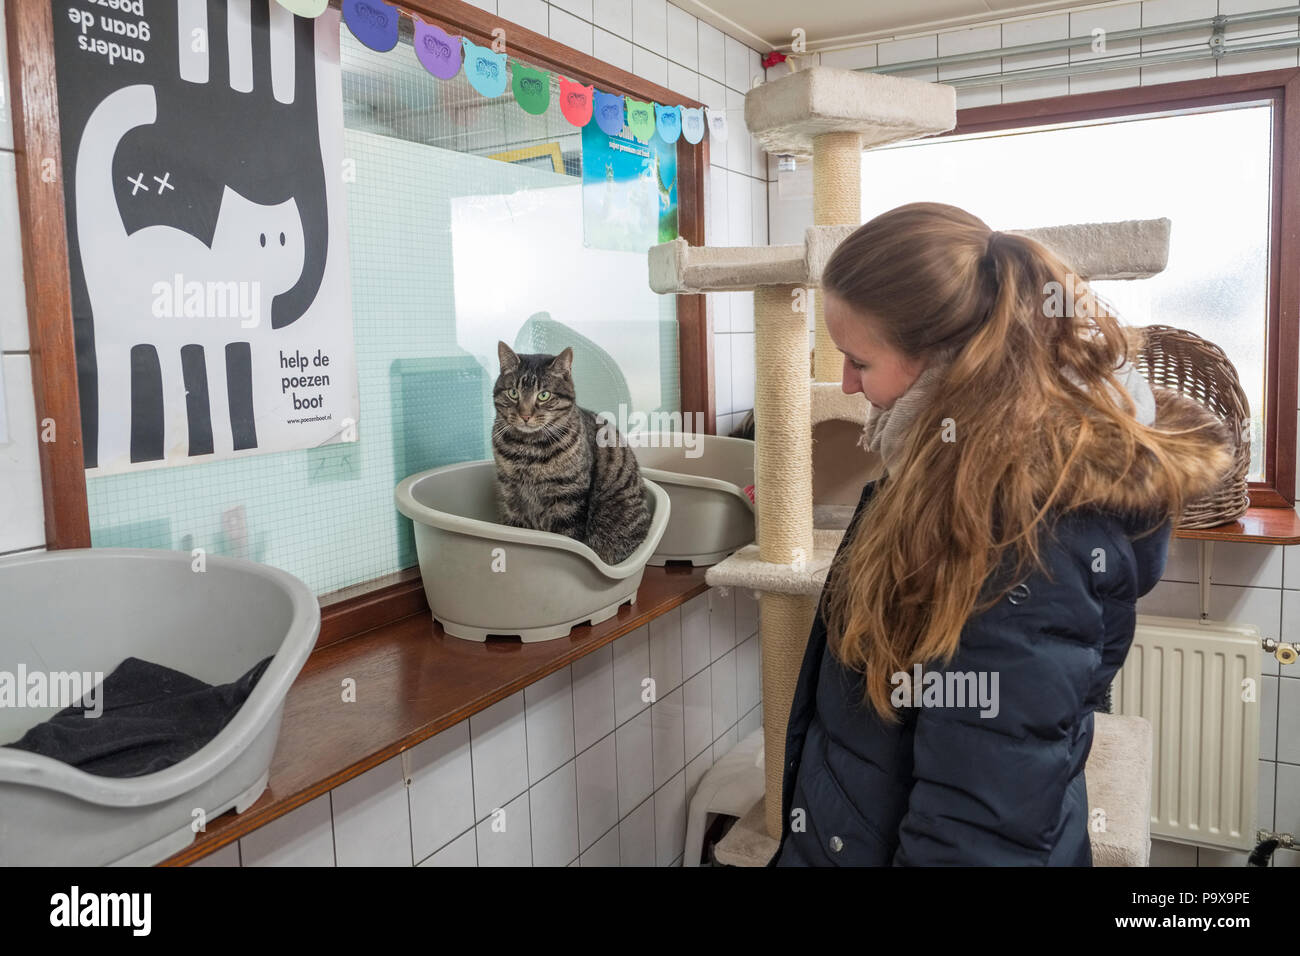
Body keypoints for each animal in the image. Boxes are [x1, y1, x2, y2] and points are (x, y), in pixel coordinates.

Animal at [488, 343, 650, 564]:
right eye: (513, 393)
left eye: (544, 395)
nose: (525, 416)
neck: (528, 450)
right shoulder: (511, 497)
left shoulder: (568, 499)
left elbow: (567, 538)